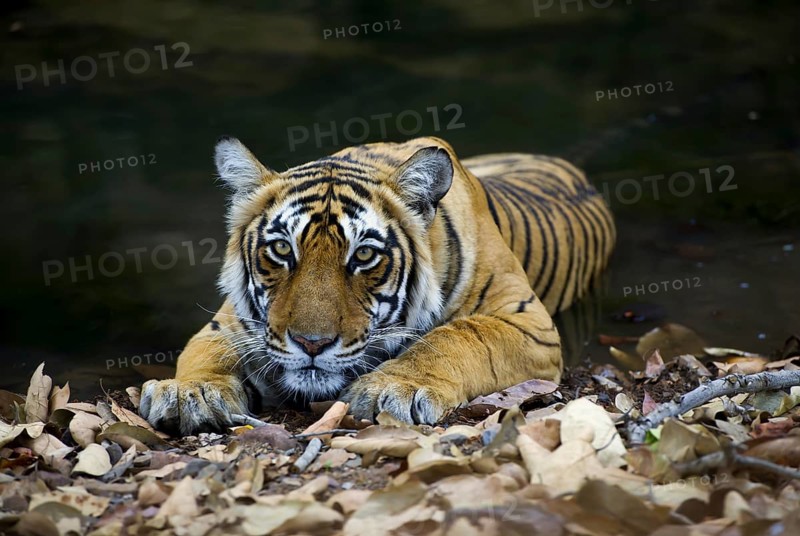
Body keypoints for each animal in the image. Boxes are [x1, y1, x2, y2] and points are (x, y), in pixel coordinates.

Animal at [139, 136, 615, 435]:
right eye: (281, 249)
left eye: (364, 255)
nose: (312, 344)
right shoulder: (229, 322)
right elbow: (205, 350)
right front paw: (190, 392)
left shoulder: (528, 322)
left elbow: (457, 337)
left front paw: (392, 389)